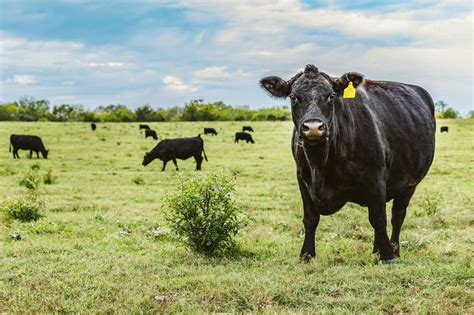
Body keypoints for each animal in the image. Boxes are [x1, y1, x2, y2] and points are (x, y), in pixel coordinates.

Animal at [262, 64, 436, 264]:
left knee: (397, 215)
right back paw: (376, 249)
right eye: (293, 96)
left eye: (331, 96)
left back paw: (393, 249)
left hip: (410, 183)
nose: (313, 128)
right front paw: (306, 254)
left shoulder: (376, 178)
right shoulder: (302, 178)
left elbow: (378, 218)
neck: (319, 164)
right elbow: (310, 218)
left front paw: (387, 256)